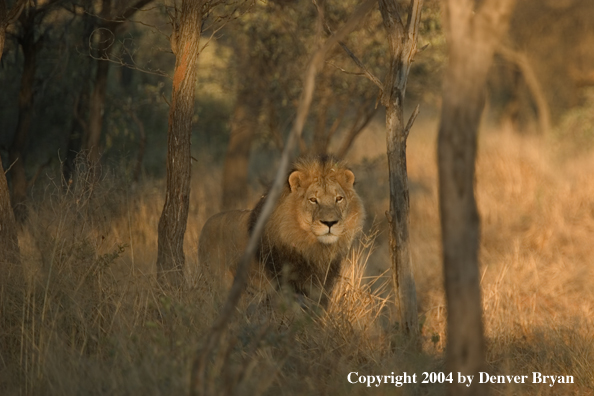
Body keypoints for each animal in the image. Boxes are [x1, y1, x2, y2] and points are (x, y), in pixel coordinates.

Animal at [199, 156, 364, 308]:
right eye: (313, 200)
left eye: (339, 198)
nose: (330, 223)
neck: (315, 250)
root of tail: (207, 223)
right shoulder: (285, 288)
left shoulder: (323, 287)